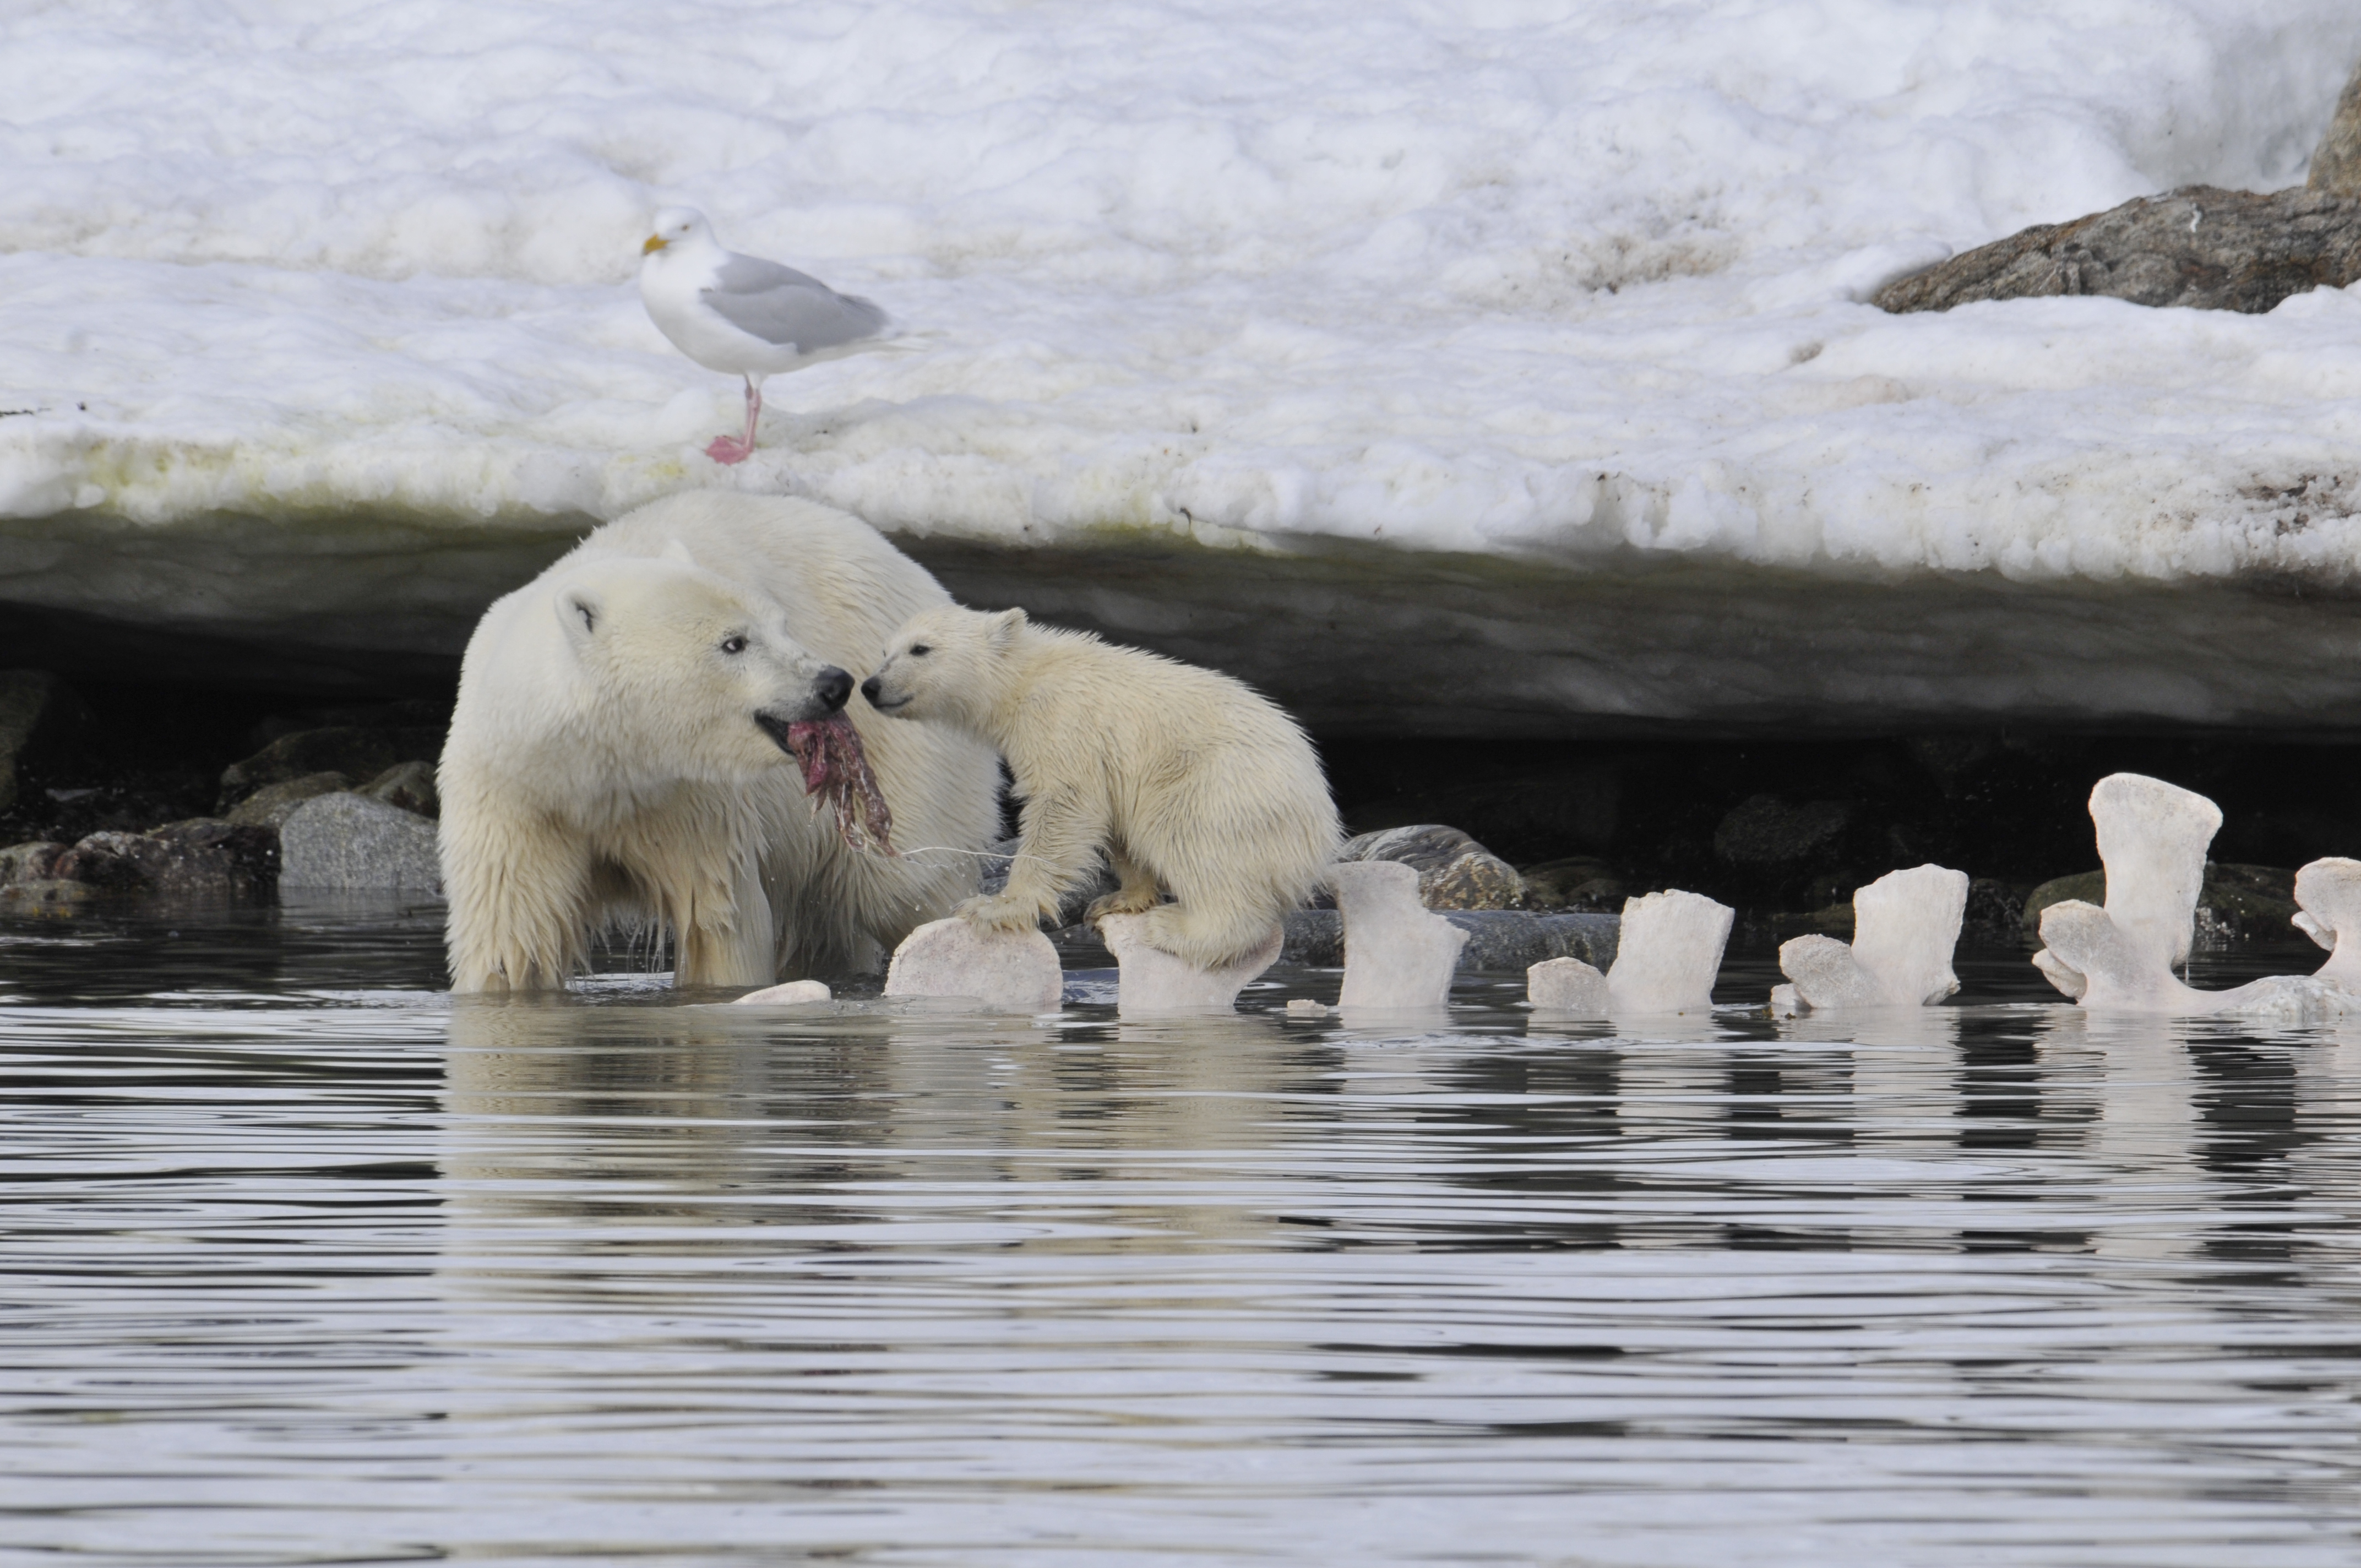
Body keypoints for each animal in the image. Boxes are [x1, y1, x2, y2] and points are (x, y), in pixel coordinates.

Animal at [439, 496, 1001, 992]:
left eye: (781, 625)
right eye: (734, 642)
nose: (835, 683)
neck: (597, 772)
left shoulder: (691, 800)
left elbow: (717, 922)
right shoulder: (515, 803)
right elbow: (513, 938)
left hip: (910, 746)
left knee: (904, 882)